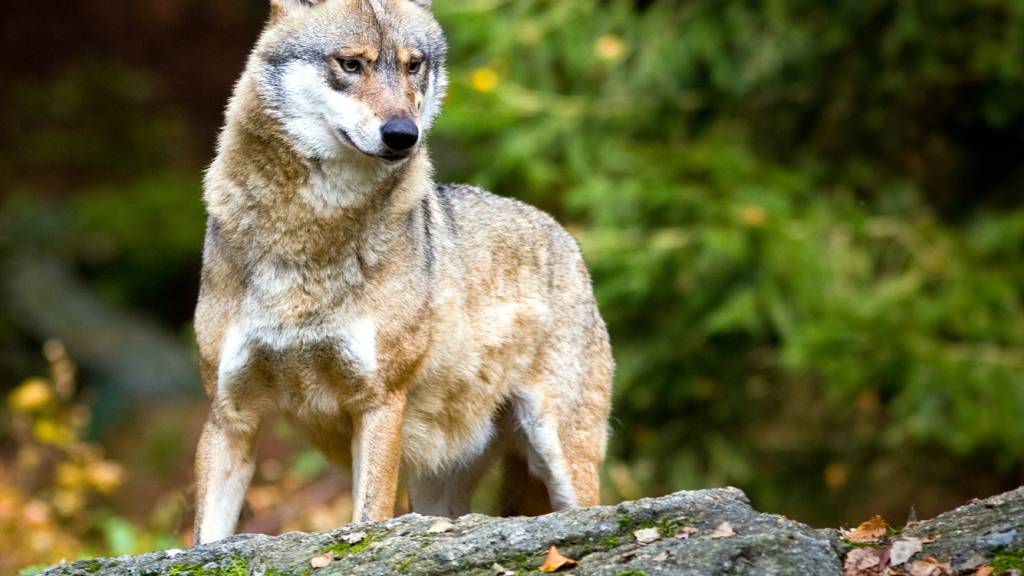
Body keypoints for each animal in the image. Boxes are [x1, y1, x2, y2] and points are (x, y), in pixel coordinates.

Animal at [192, 0, 614, 544]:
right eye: (352, 64)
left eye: (414, 65)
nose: (402, 135)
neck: (307, 239)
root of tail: (565, 236)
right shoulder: (230, 415)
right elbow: (205, 537)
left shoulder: (379, 401)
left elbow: (368, 517)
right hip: (438, 490)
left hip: (560, 455)